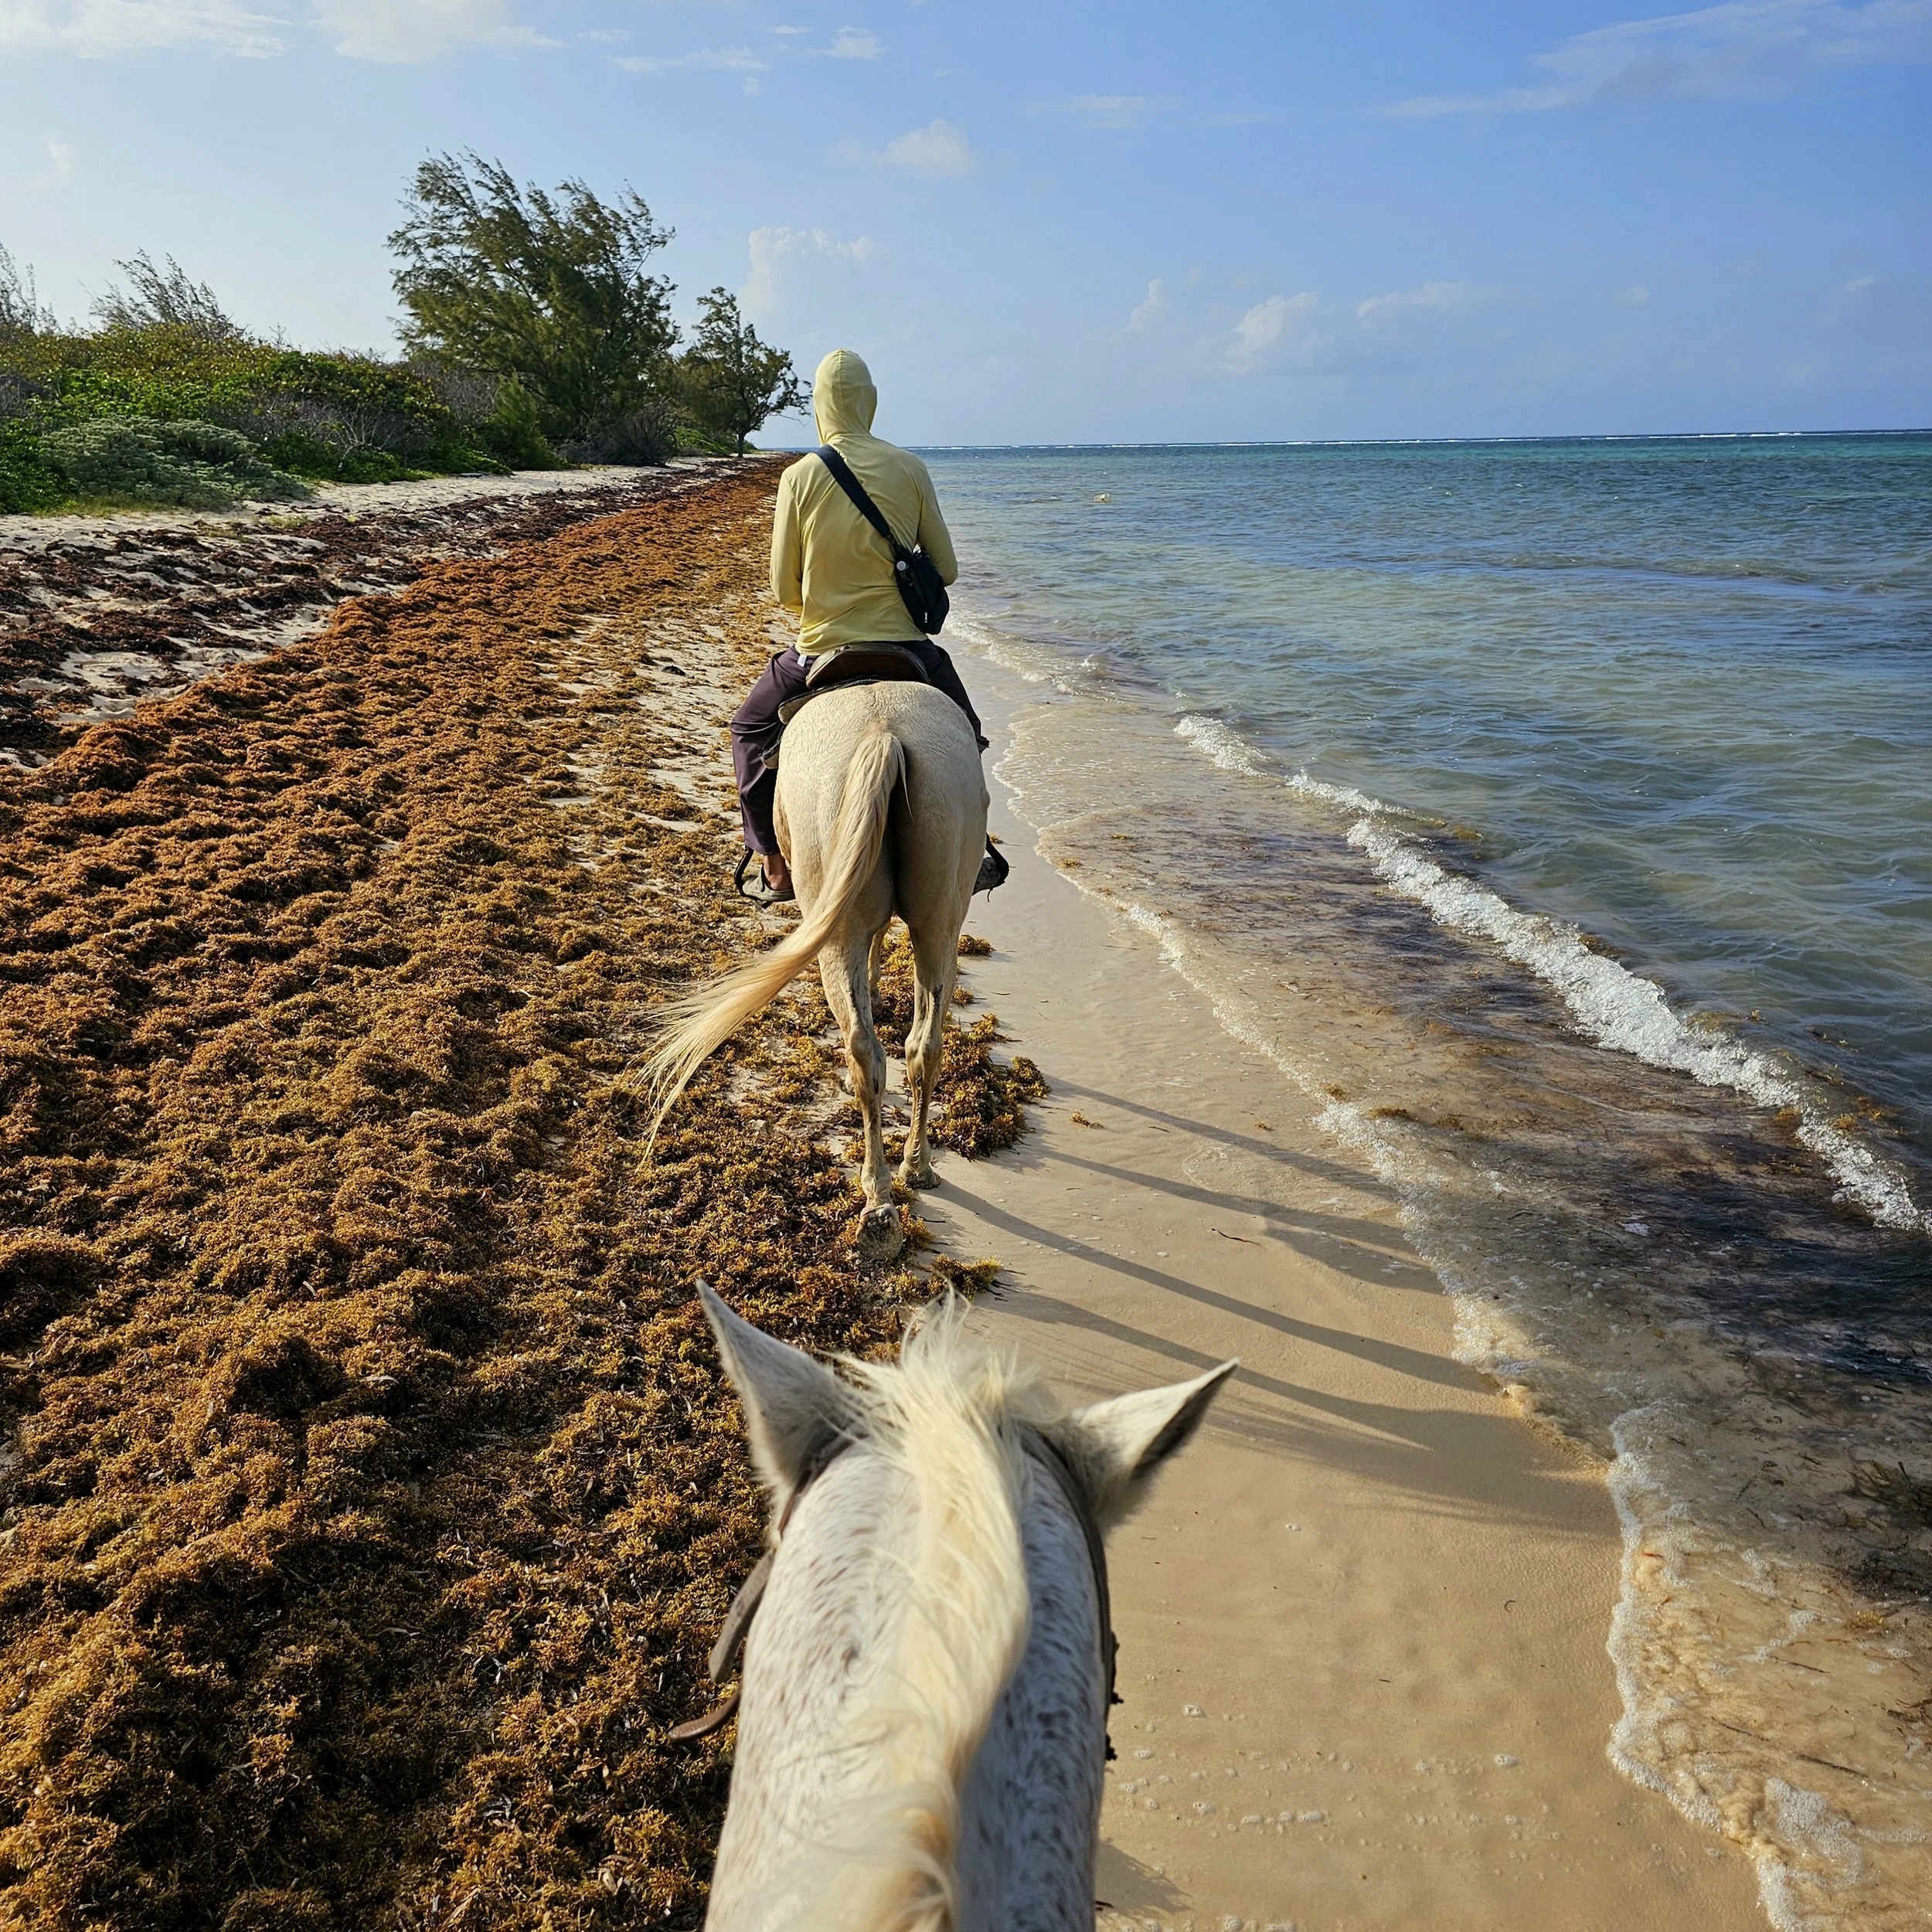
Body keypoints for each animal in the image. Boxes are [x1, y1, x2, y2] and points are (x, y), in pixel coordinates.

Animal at [645, 679, 987, 1261]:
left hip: (838, 926)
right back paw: (915, 1168)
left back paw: (877, 1201)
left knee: (865, 1052)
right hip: (939, 924)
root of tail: (883, 734)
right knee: (921, 1045)